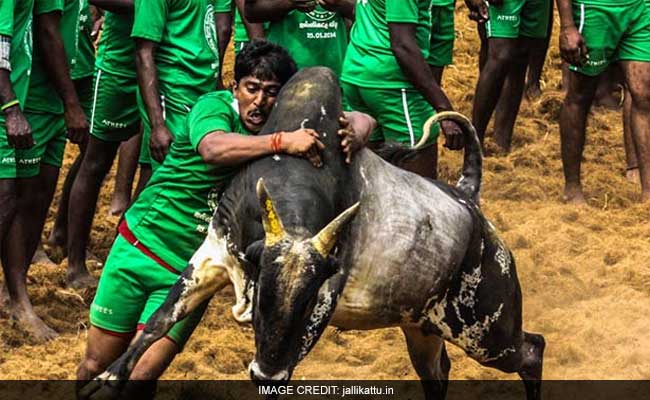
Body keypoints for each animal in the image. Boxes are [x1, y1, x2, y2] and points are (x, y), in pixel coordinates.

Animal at [81, 67, 540, 398]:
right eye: (264, 292)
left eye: (303, 302)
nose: (263, 371)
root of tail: (468, 198)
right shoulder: (212, 254)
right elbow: (158, 323)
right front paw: (105, 379)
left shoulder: (325, 294)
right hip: (423, 329)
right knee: (440, 371)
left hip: (487, 332)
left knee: (532, 351)